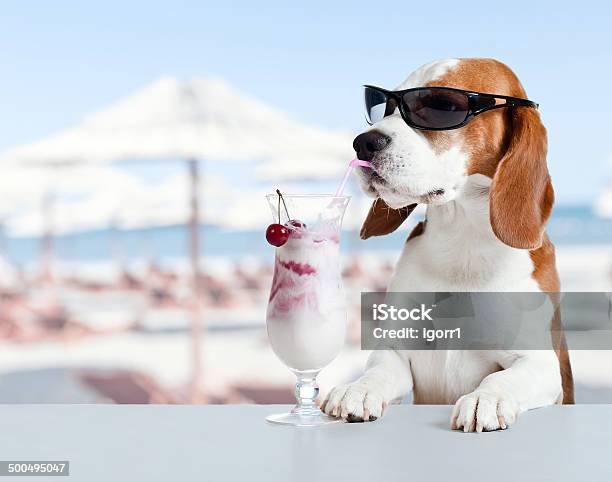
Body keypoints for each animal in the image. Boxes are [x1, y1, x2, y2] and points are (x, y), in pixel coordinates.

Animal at [322, 58, 576, 432]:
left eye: (440, 105)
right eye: (384, 105)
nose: (363, 143)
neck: (463, 242)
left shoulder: (539, 363)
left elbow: (500, 378)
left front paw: (486, 399)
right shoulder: (396, 348)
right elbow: (378, 371)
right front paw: (359, 389)